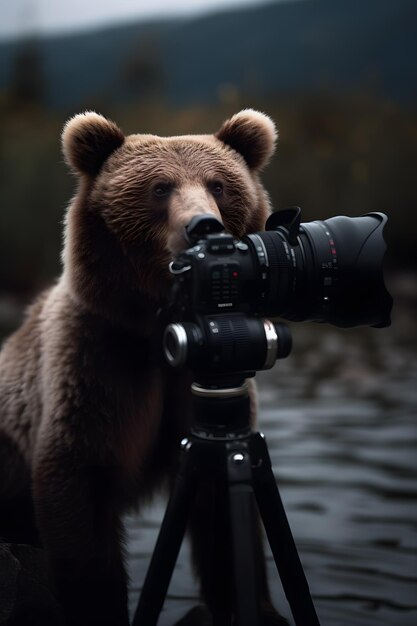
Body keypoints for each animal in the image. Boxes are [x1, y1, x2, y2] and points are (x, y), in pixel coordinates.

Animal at [0, 109, 286, 620]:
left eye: (218, 185)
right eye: (159, 188)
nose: (202, 225)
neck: (159, 332)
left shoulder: (191, 392)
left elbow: (221, 519)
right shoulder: (97, 364)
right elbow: (79, 488)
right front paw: (99, 600)